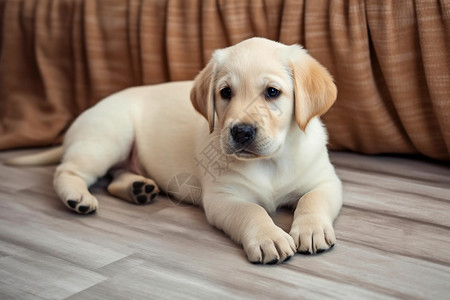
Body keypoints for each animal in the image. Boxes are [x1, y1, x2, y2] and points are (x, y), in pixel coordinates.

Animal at [6, 38, 342, 264]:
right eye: (225, 93)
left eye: (272, 92)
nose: (241, 132)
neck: (271, 161)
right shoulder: (223, 197)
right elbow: (253, 211)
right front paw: (269, 237)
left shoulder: (325, 181)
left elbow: (312, 200)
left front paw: (311, 230)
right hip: (108, 137)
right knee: (68, 170)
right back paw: (77, 197)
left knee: (115, 178)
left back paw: (138, 188)